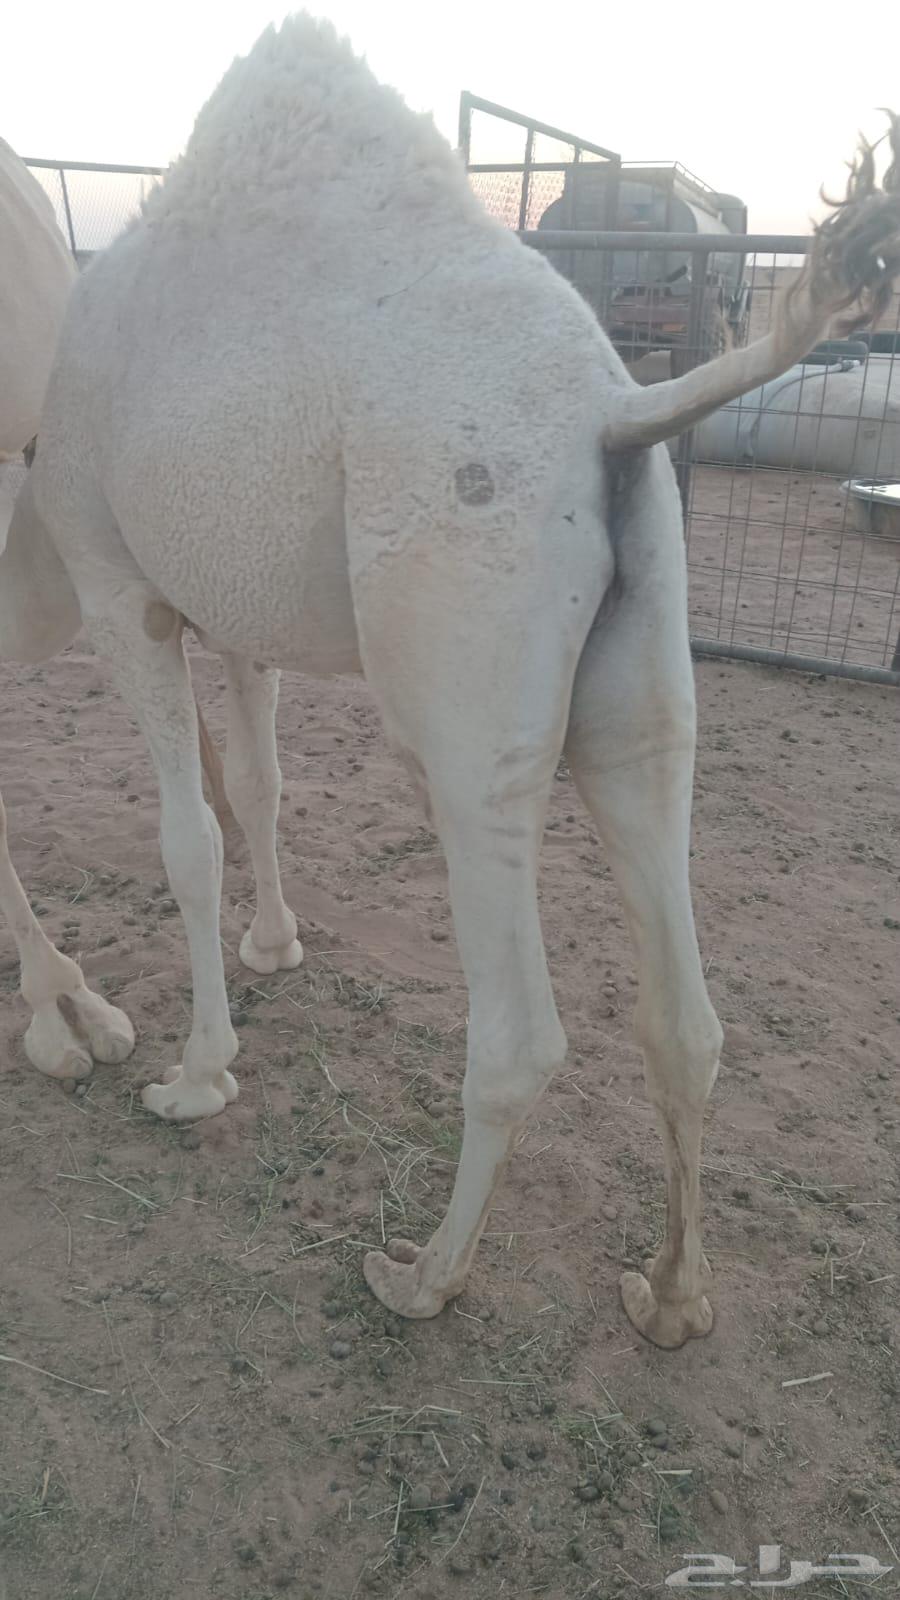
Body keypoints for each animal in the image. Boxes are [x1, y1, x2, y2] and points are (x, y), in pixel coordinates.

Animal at [2, 20, 898, 1347]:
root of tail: (616, 404)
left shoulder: (117, 583)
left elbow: (189, 838)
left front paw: (193, 1072)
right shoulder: (234, 606)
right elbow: (258, 786)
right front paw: (276, 948)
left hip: (465, 663)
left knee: (519, 1025)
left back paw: (423, 1273)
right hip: (646, 668)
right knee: (683, 1003)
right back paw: (671, 1295)